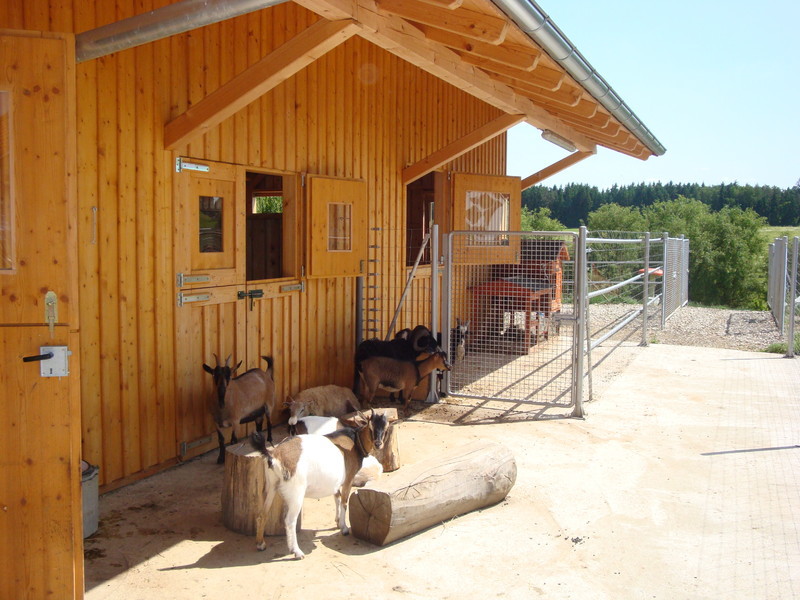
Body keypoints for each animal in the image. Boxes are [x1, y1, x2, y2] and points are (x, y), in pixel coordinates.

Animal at [250, 410, 389, 559]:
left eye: (386, 428)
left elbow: (336, 497)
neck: (355, 442)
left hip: (271, 486)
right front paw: (344, 528)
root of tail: (274, 455)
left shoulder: (335, 482)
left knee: (262, 513)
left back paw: (260, 544)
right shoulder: (349, 478)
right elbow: (344, 502)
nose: (378, 443)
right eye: (370, 426)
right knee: (289, 521)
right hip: (296, 492)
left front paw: (337, 521)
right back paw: (297, 552)